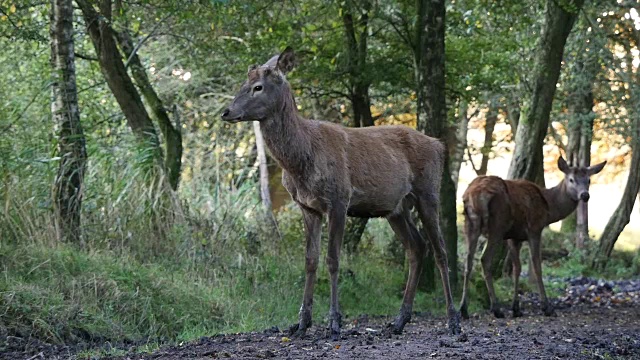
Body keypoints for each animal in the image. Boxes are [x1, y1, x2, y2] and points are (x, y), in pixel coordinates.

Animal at [220, 48, 460, 340]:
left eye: (258, 87)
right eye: (244, 82)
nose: (226, 112)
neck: (302, 160)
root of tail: (440, 146)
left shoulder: (339, 199)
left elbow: (333, 260)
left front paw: (335, 322)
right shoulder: (307, 207)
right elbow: (310, 260)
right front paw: (302, 322)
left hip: (429, 193)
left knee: (441, 250)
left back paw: (453, 321)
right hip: (396, 208)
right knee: (416, 246)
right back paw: (399, 321)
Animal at [460, 156, 604, 320]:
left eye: (588, 180)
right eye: (571, 179)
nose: (585, 195)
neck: (549, 209)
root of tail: (475, 194)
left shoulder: (514, 237)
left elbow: (517, 268)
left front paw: (516, 308)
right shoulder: (534, 229)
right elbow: (537, 267)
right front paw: (546, 307)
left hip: (470, 224)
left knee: (468, 261)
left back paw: (464, 309)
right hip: (497, 225)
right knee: (485, 259)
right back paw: (496, 308)